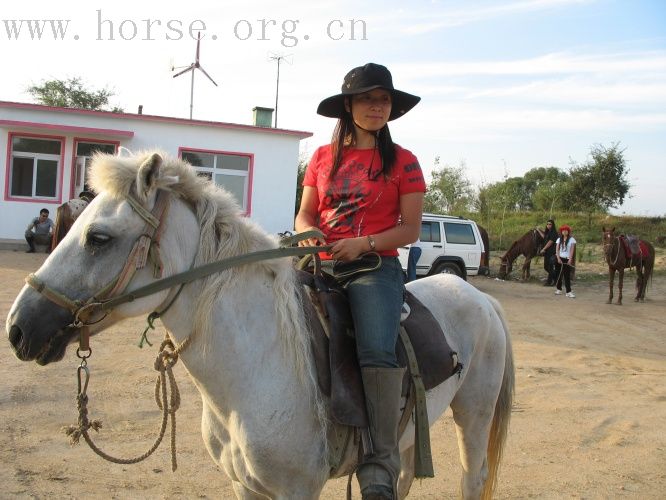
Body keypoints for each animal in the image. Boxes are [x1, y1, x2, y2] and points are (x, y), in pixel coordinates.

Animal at [6, 152, 512, 500]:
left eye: (98, 238)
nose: (17, 328)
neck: (257, 367)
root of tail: (481, 298)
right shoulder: (245, 486)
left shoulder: (296, 489)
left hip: (473, 416)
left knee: (472, 479)